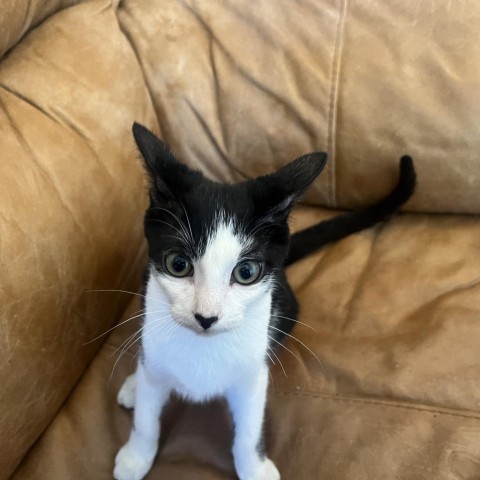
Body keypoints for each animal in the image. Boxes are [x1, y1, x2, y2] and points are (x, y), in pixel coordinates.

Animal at [113, 124, 416, 480]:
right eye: (178, 264)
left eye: (246, 272)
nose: (206, 317)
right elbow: (146, 419)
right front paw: (135, 457)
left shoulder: (253, 375)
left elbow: (248, 431)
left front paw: (255, 469)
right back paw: (136, 383)